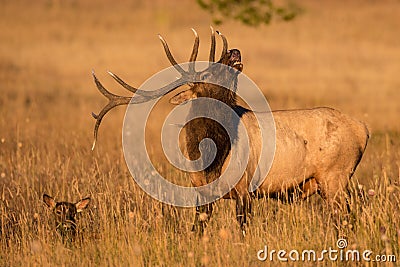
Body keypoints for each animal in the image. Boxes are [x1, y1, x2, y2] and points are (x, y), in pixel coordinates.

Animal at [90, 28, 368, 234]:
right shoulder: (200, 192)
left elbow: (242, 229)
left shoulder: (245, 188)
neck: (209, 160)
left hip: (335, 178)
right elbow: (197, 229)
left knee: (346, 218)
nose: (235, 50)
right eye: (207, 73)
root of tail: (363, 130)